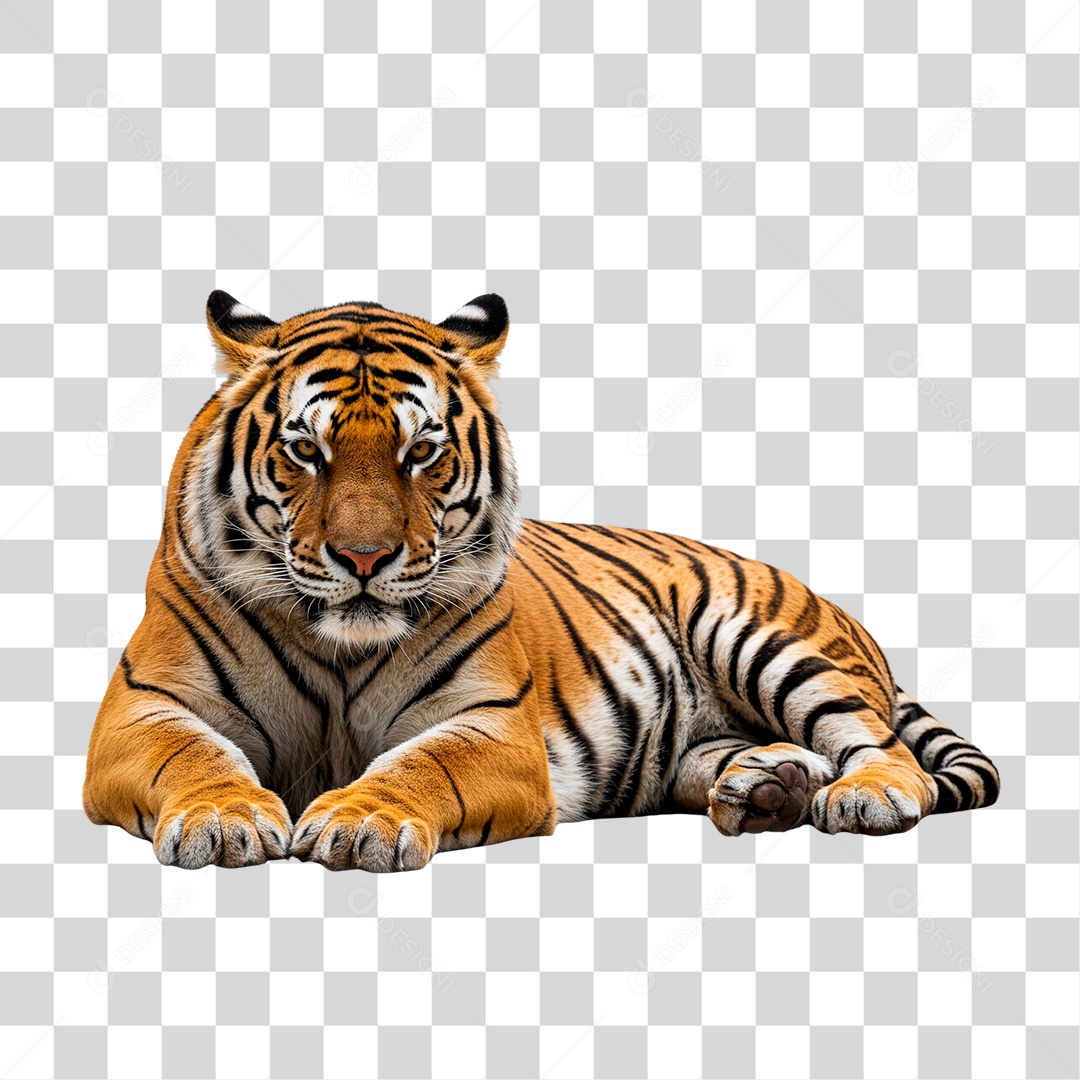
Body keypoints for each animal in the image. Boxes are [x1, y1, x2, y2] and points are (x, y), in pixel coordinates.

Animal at [82, 290, 1000, 871]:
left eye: (422, 451)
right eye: (307, 449)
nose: (366, 560)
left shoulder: (493, 724)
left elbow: (422, 765)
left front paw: (357, 820)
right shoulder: (144, 706)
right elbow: (192, 754)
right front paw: (224, 816)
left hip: (763, 638)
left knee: (885, 750)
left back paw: (861, 797)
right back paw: (769, 788)